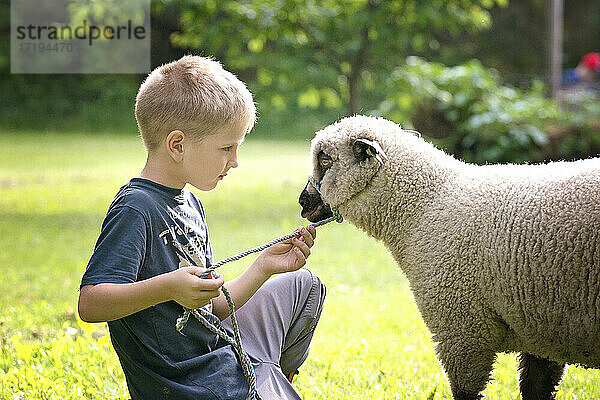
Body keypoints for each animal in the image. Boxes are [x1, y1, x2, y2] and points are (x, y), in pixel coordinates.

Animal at [298, 115, 600, 400]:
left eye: (324, 160)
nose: (303, 202)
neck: (423, 209)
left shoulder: (461, 328)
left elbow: (466, 393)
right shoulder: (541, 328)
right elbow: (536, 388)